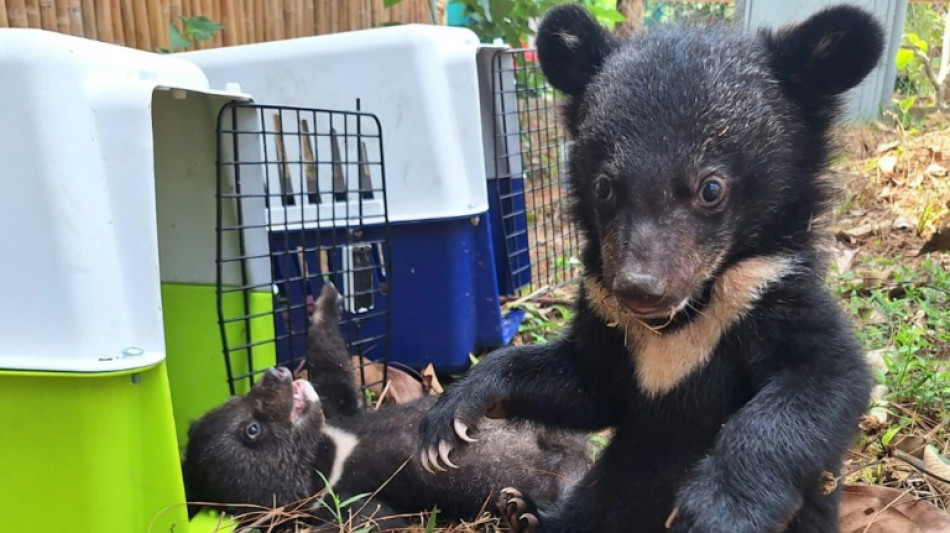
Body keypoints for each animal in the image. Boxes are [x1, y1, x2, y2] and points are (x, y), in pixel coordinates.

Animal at [181, 283, 592, 532]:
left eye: (238, 398)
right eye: (252, 429)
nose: (275, 372)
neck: (330, 452)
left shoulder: (340, 412)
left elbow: (334, 373)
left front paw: (326, 300)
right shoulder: (344, 498)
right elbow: (376, 520)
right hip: (559, 478)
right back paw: (523, 514)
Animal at [416, 4, 884, 533]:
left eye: (711, 188)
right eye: (604, 187)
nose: (640, 289)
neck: (681, 320)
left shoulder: (769, 291)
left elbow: (824, 377)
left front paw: (718, 511)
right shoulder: (606, 318)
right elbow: (587, 385)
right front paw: (450, 420)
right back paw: (525, 512)